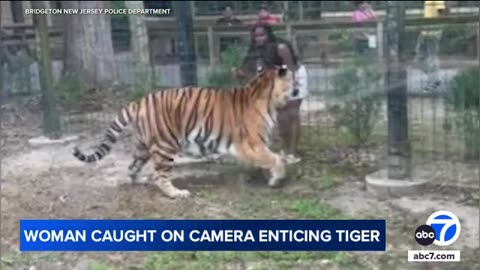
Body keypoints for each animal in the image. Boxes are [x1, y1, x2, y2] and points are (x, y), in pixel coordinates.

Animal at [72, 63, 296, 198]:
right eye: (292, 79)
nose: (297, 88)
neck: (268, 97)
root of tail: (139, 102)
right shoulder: (250, 144)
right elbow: (275, 159)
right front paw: (277, 178)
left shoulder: (257, 145)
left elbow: (272, 158)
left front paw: (269, 176)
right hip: (165, 146)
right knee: (159, 175)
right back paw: (177, 194)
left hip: (143, 147)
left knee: (133, 167)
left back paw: (139, 181)